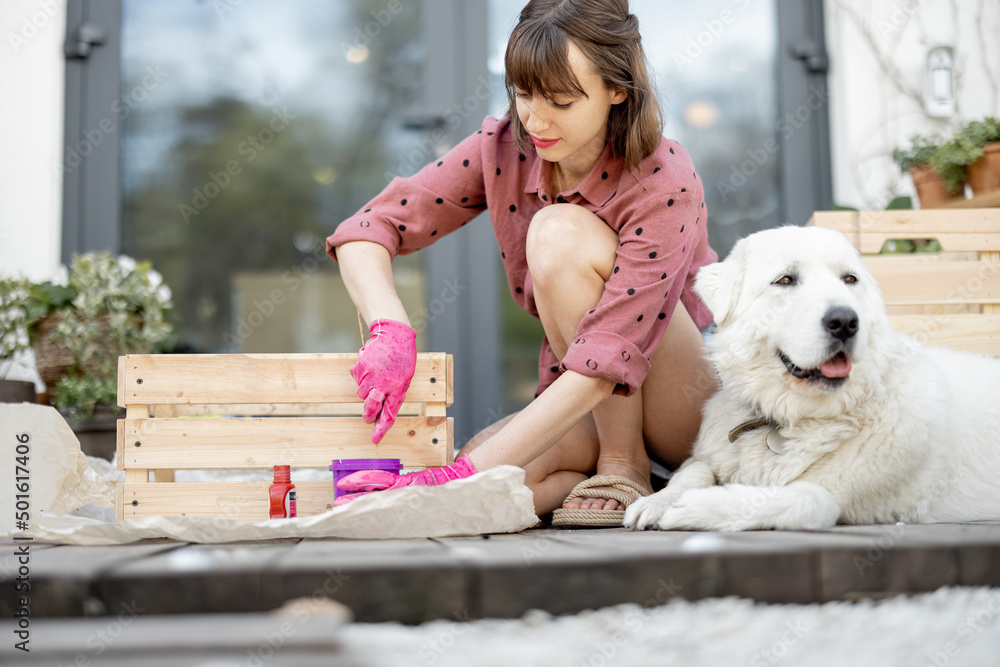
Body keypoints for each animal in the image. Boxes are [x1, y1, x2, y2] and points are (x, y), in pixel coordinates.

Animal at [624, 226, 1000, 532]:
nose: (845, 321)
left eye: (850, 280)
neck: (792, 416)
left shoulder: (827, 499)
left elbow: (788, 499)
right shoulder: (709, 453)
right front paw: (655, 501)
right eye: (785, 280)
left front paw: (690, 508)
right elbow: (695, 470)